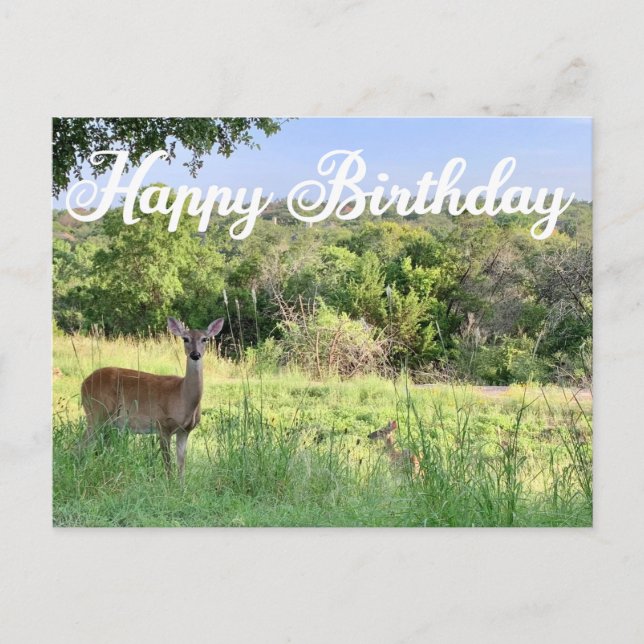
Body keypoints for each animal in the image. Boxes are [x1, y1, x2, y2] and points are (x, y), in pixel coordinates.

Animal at [80, 317, 224, 482]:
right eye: (185, 338)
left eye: (204, 339)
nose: (195, 354)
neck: (183, 396)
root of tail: (83, 383)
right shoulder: (163, 425)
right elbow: (168, 465)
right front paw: (169, 485)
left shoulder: (185, 431)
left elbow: (181, 464)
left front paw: (181, 486)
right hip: (97, 413)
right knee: (81, 445)